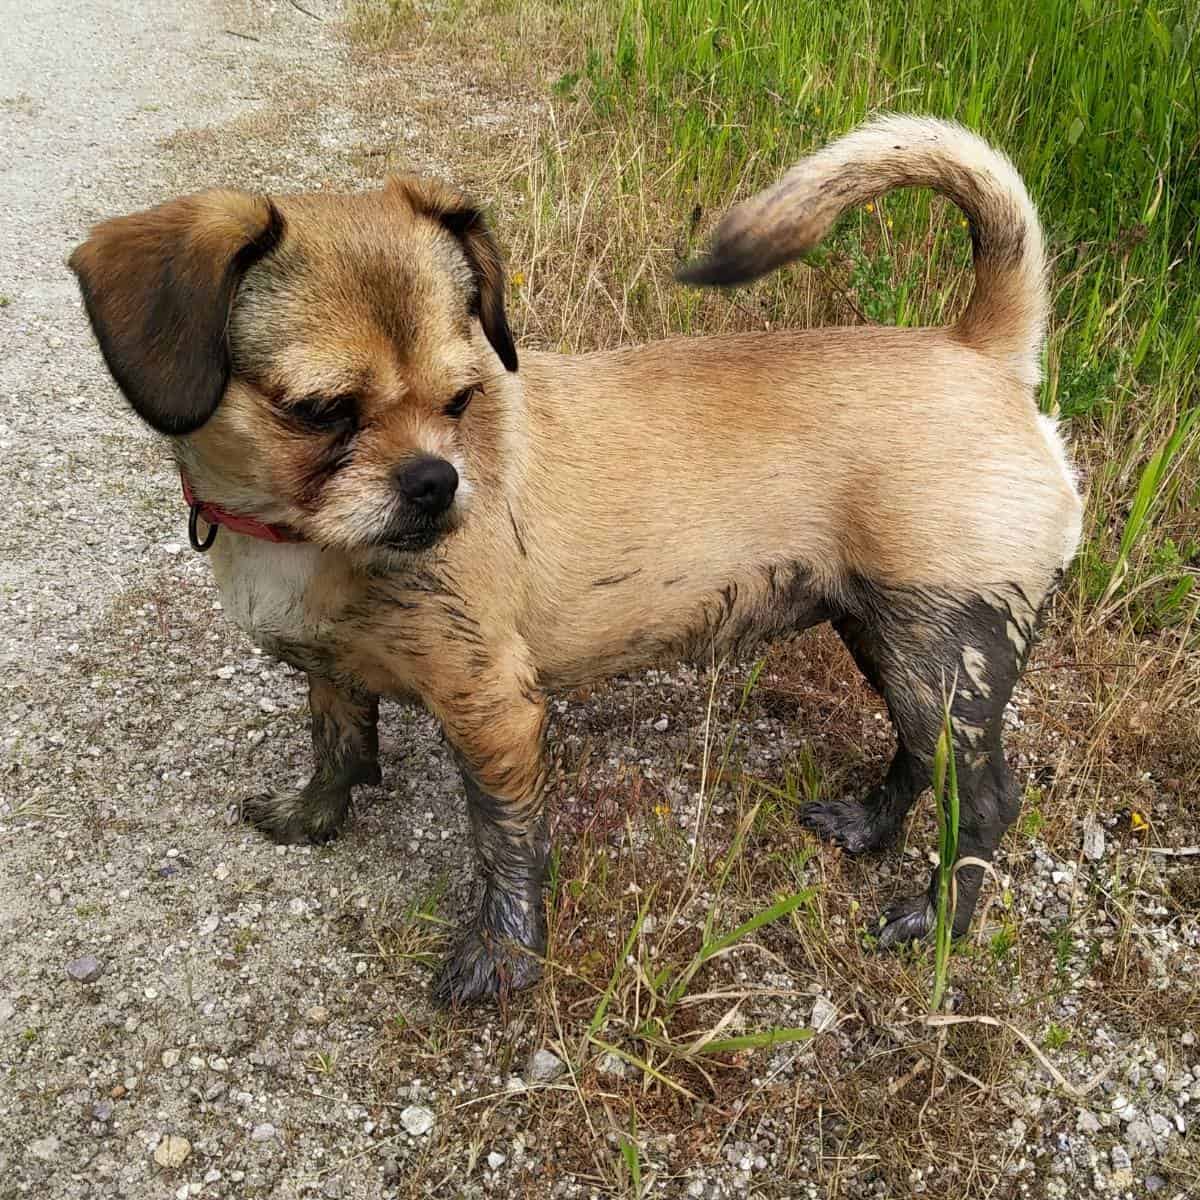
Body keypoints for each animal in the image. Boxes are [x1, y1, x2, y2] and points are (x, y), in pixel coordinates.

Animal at [70, 114, 1084, 1003]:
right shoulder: (332, 673)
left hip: (940, 649)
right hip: (891, 642)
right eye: (319, 412)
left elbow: (506, 845)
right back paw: (871, 826)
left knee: (985, 800)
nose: (437, 481)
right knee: (921, 759)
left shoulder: (494, 714)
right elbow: (337, 747)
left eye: (463, 399)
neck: (295, 533)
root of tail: (983, 352)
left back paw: (938, 919)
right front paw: (313, 819)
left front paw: (506, 957)